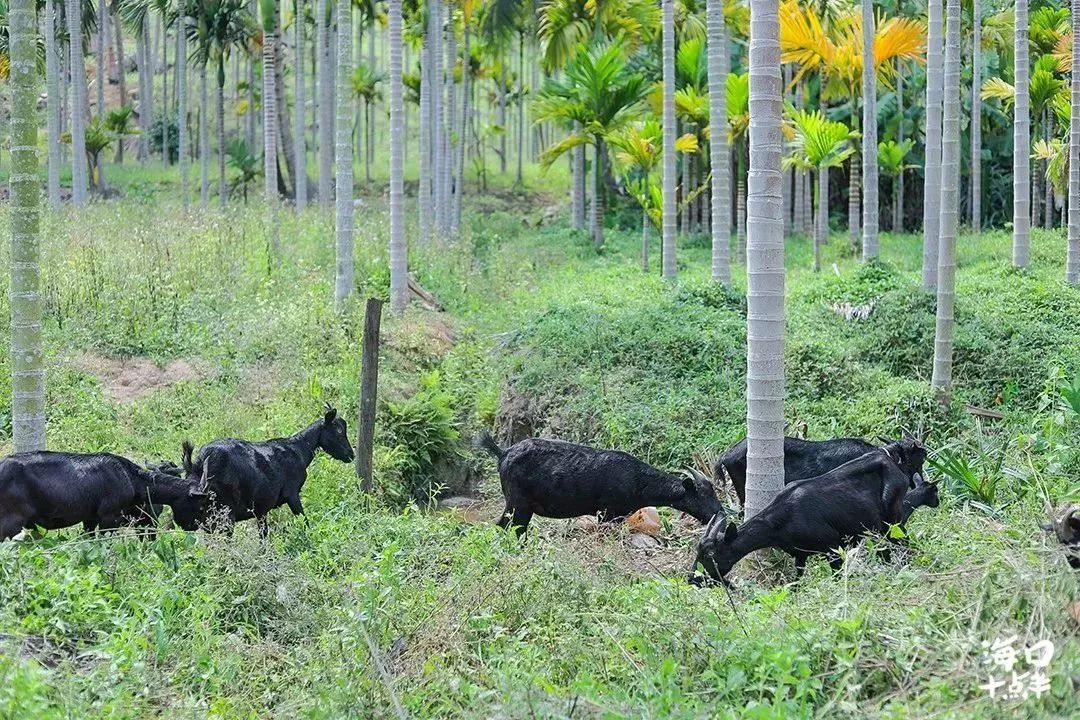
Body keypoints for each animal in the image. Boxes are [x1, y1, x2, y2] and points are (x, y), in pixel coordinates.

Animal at [0, 451, 208, 539]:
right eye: (199, 504)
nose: (193, 527)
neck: (131, 478)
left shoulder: (90, 519)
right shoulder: (109, 517)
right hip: (10, 523)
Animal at [182, 403, 354, 537]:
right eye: (339, 432)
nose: (351, 455)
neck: (298, 449)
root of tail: (199, 463)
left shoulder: (261, 509)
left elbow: (263, 535)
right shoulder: (292, 494)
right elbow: (304, 520)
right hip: (224, 512)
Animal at [479, 431, 717, 537]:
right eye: (702, 494)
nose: (720, 514)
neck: (638, 480)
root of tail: (503, 453)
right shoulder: (607, 513)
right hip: (518, 504)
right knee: (507, 527)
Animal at [691, 451, 911, 587]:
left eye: (710, 553)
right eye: (698, 551)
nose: (692, 578)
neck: (781, 520)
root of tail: (893, 464)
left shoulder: (833, 547)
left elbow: (837, 577)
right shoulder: (800, 554)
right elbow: (795, 582)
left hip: (892, 518)